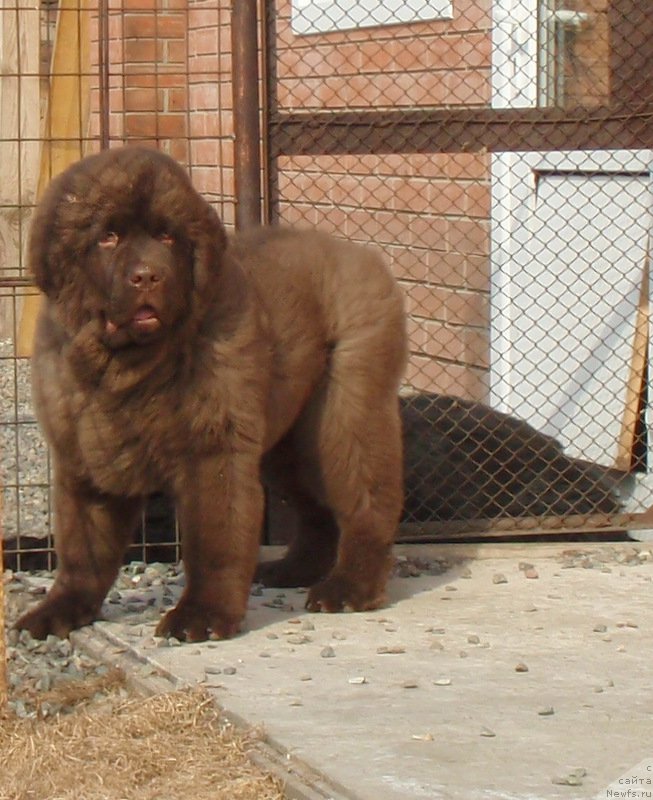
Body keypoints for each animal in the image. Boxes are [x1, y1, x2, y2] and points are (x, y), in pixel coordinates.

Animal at [17, 145, 408, 644]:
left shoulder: (212, 450)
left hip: (343, 411)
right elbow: (82, 549)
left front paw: (201, 616)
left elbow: (214, 539)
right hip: (284, 441)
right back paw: (294, 569)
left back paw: (350, 586)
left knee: (366, 496)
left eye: (167, 236)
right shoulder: (84, 453)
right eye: (108, 237)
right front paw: (60, 610)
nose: (148, 277)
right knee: (316, 508)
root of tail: (355, 251)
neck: (130, 364)